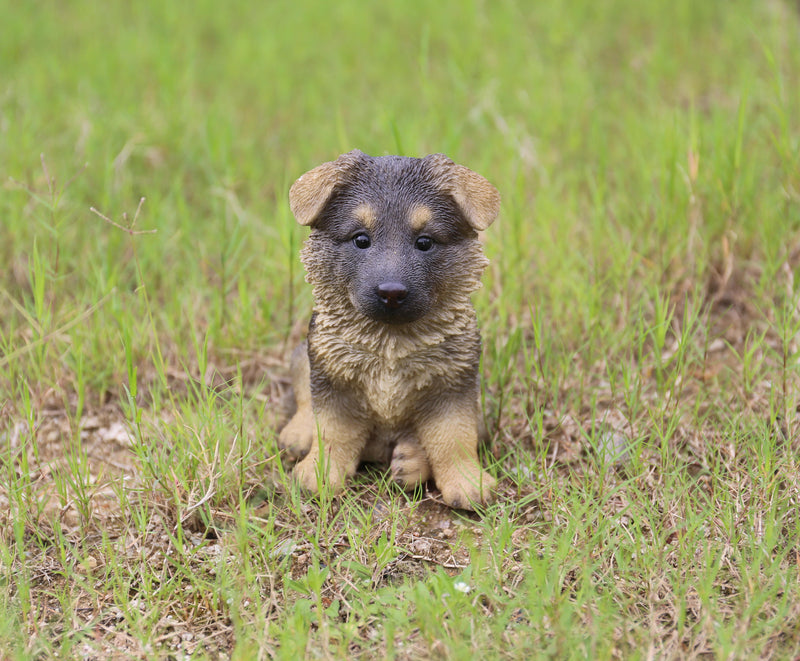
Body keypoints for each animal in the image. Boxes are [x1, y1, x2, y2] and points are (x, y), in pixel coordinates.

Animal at [278, 151, 496, 510]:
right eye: (360, 239)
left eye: (425, 242)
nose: (391, 292)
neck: (389, 343)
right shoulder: (333, 377)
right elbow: (332, 431)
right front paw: (319, 474)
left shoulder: (454, 384)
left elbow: (455, 436)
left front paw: (467, 482)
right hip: (303, 355)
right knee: (304, 397)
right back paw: (297, 434)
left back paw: (411, 461)